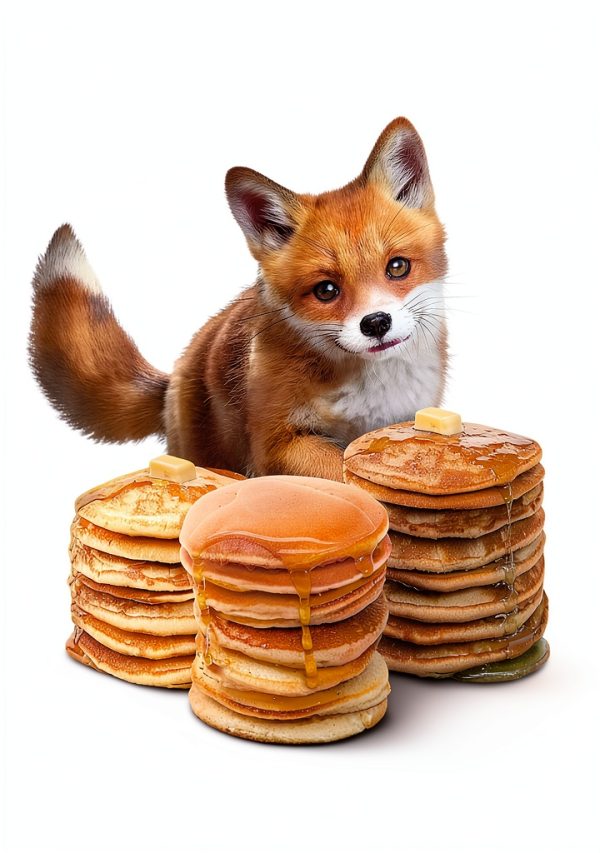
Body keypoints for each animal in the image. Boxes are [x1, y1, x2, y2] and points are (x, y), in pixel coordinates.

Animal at [29, 117, 448, 481]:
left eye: (397, 267)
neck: (368, 392)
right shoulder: (276, 444)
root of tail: (174, 374)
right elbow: (343, 473)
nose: (376, 323)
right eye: (326, 290)